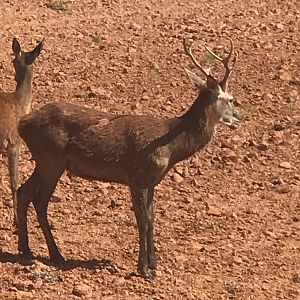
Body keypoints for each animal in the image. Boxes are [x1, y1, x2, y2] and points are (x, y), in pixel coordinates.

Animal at [17, 37, 239, 278]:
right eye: (230, 99)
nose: (238, 118)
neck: (172, 145)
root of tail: (22, 123)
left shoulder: (151, 182)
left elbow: (151, 219)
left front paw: (154, 263)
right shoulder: (137, 178)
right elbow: (142, 221)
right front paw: (144, 269)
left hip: (45, 162)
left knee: (23, 192)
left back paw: (26, 249)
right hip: (51, 160)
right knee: (39, 200)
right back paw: (55, 254)